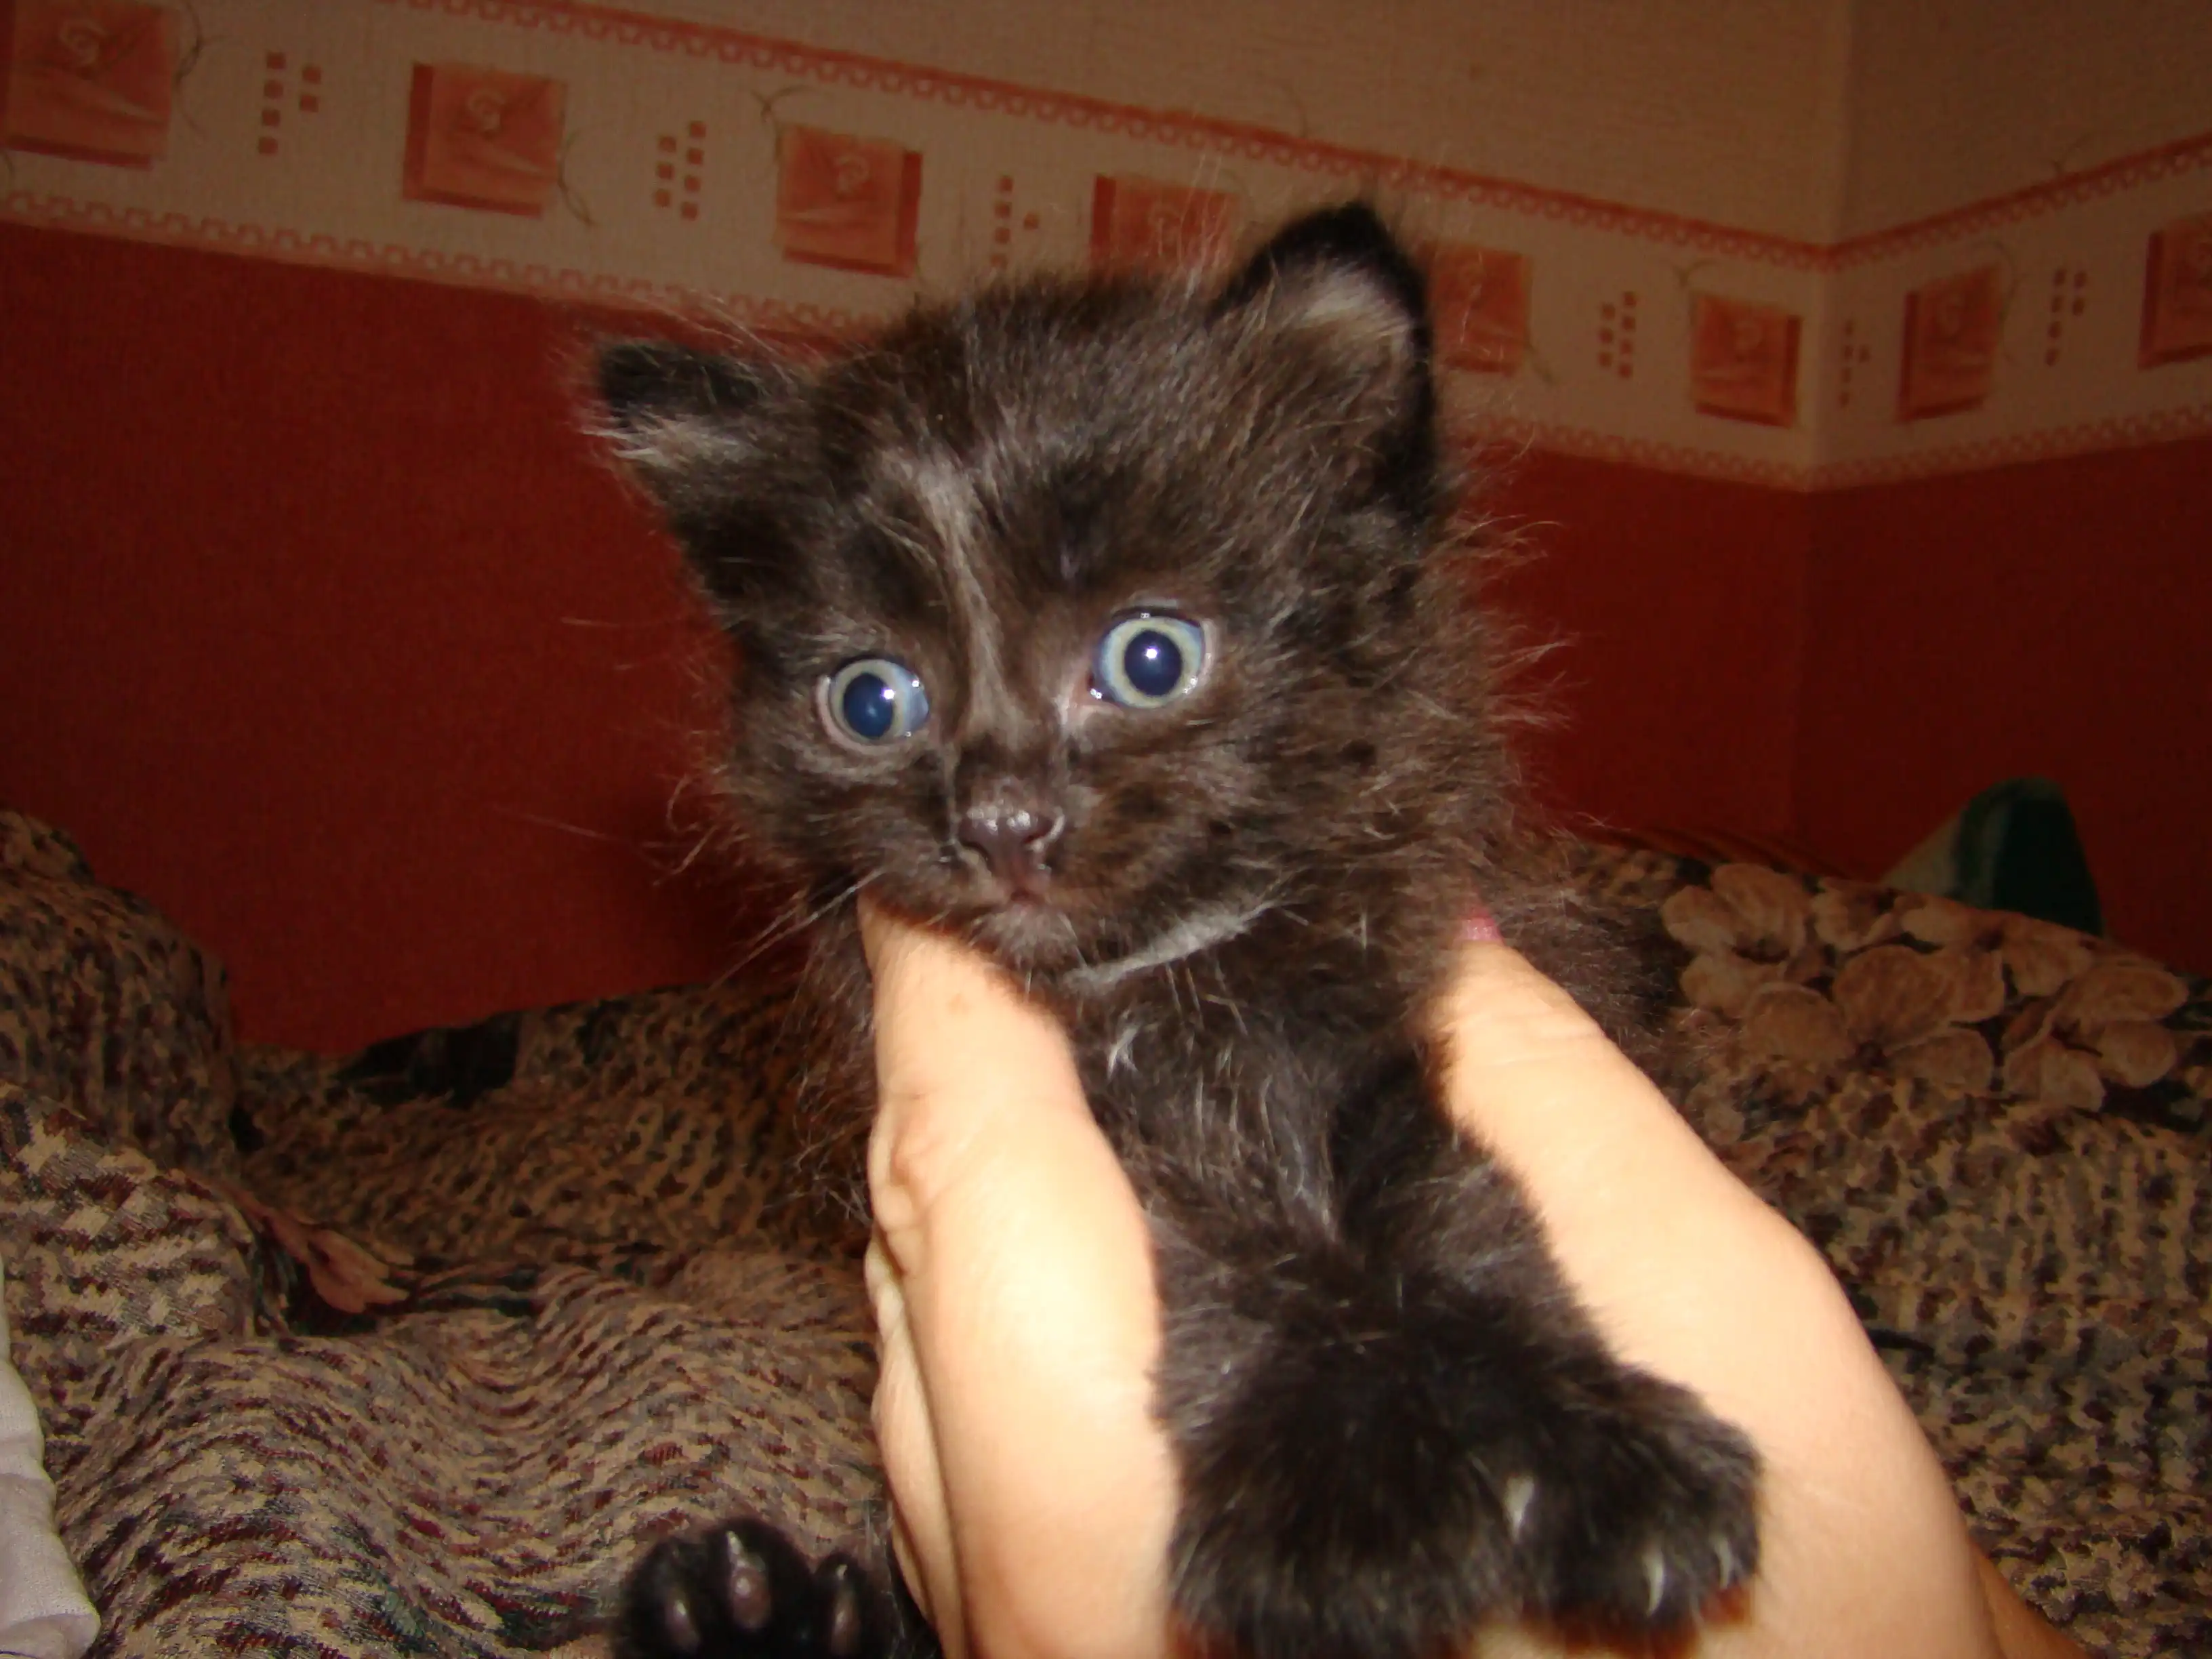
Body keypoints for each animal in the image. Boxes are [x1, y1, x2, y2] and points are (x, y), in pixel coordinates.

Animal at [595, 202, 1759, 1659]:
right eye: (870, 700)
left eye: (1148, 659)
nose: (1002, 817)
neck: (1174, 982)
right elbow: (1222, 1248)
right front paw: (1338, 1504)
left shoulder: (1411, 979)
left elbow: (1451, 1195)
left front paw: (1591, 1448)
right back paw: (747, 1608)